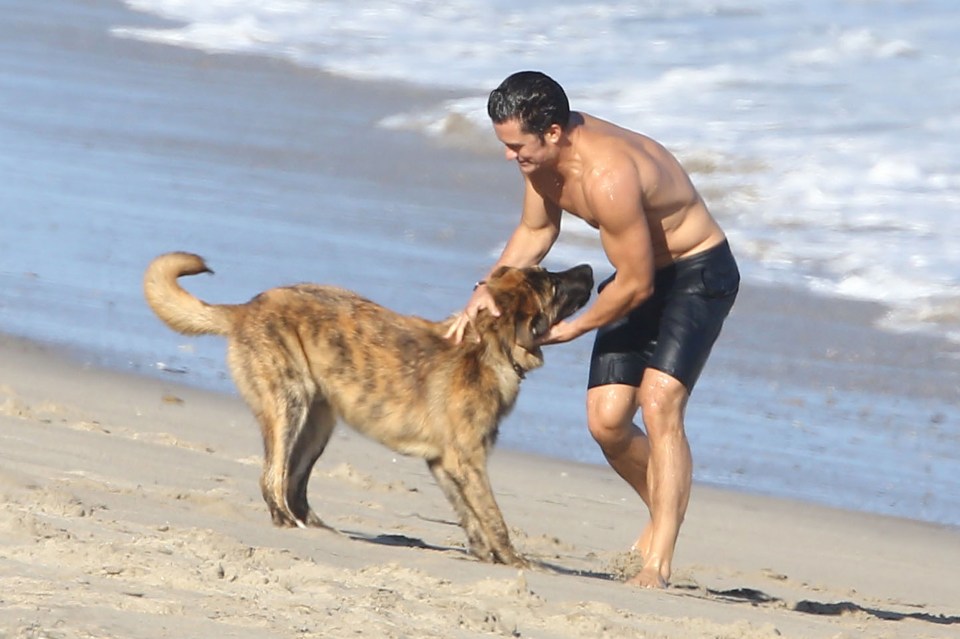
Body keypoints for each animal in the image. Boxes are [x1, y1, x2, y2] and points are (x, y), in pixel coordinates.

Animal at [142, 252, 592, 568]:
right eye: (554, 283)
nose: (590, 268)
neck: (485, 346)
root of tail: (245, 308)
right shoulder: (469, 462)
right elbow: (494, 518)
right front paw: (517, 561)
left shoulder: (446, 464)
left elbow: (471, 517)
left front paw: (487, 557)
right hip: (290, 406)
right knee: (272, 477)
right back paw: (289, 522)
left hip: (318, 423)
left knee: (294, 481)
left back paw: (319, 528)